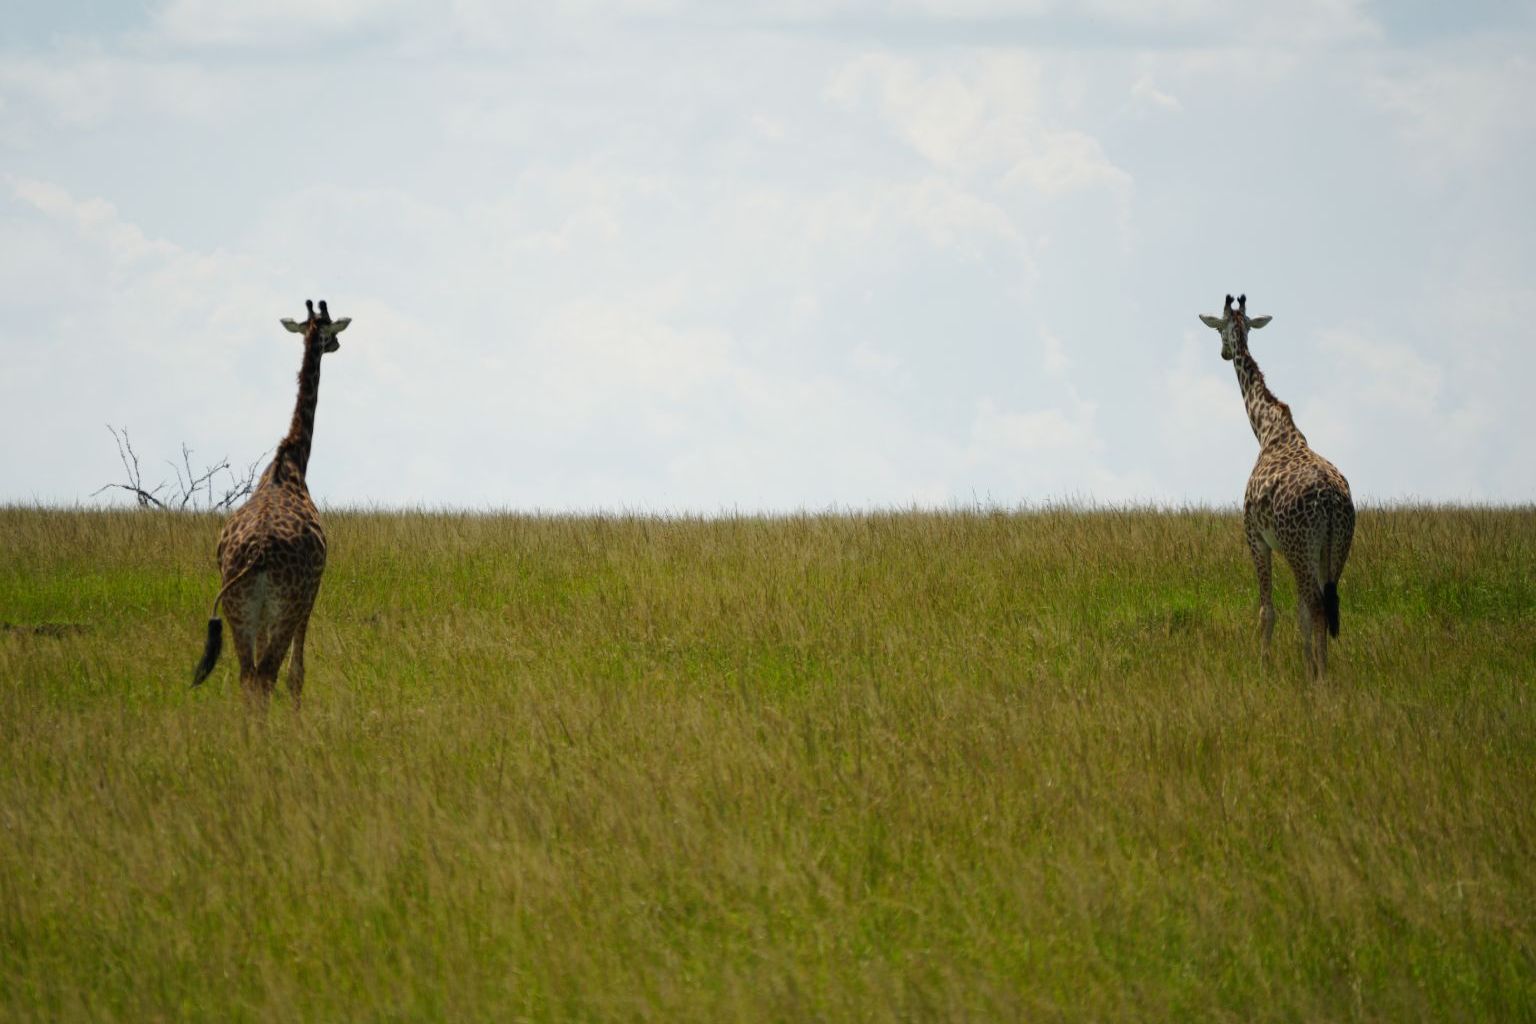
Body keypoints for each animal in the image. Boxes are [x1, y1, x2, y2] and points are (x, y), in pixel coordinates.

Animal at [192, 299, 351, 706]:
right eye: (331, 328)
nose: (337, 346)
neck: (290, 461)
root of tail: (258, 557)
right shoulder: (311, 592)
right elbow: (297, 673)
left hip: (240, 608)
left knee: (249, 676)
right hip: (284, 606)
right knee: (266, 674)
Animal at [1199, 294, 1355, 680]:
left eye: (1219, 329)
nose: (1224, 353)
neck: (1268, 429)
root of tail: (1333, 502)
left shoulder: (1255, 537)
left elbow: (1267, 611)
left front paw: (1263, 668)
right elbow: (1298, 615)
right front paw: (1306, 664)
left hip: (1301, 548)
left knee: (1316, 604)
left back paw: (1320, 678)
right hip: (1334, 548)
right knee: (1326, 603)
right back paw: (1323, 672)